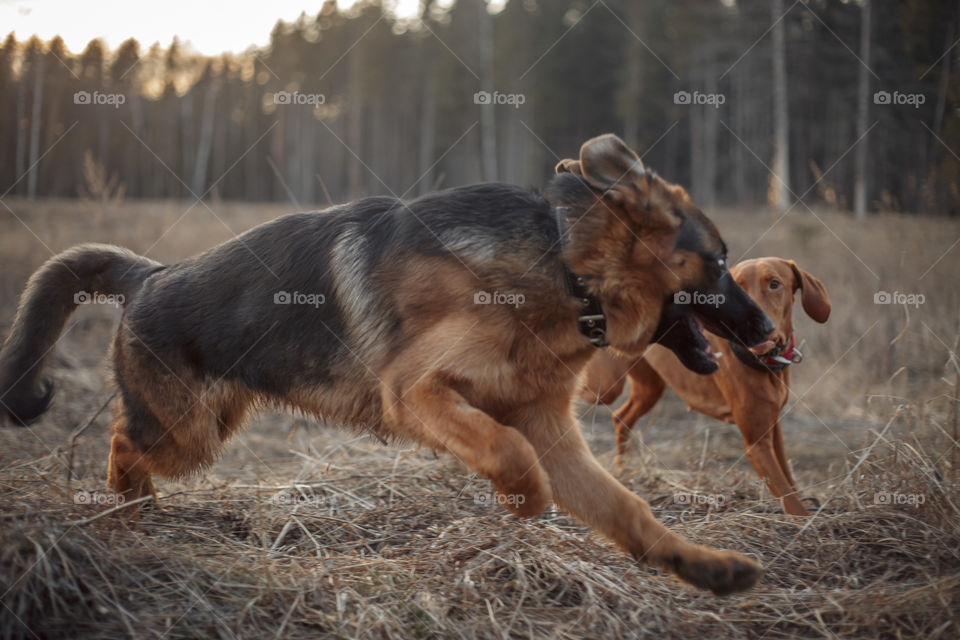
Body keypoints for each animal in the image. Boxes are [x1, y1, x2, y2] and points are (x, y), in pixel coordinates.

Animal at [1, 134, 772, 596]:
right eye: (721, 262)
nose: (768, 330)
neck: (561, 261)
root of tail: (151, 274)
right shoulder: (418, 392)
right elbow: (507, 451)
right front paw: (523, 502)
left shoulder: (551, 430)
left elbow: (627, 509)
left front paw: (704, 567)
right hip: (186, 431)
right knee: (121, 441)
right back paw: (121, 520)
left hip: (205, 424)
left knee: (126, 443)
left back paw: (137, 516)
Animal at [580, 258, 828, 516]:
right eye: (736, 287)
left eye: (774, 284)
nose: (756, 324)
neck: (765, 363)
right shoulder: (756, 446)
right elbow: (791, 501)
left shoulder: (772, 427)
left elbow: (789, 479)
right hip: (605, 387)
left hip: (649, 388)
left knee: (621, 417)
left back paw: (624, 468)